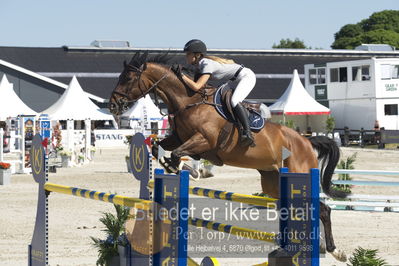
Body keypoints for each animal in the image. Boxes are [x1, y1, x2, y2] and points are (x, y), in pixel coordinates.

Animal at [110, 52, 350, 262]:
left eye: (128, 78)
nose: (113, 104)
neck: (187, 101)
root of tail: (306, 141)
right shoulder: (178, 138)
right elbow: (159, 146)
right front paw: (171, 165)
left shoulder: (204, 140)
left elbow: (180, 153)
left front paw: (186, 170)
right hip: (274, 182)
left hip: (299, 173)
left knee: (324, 209)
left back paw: (335, 250)